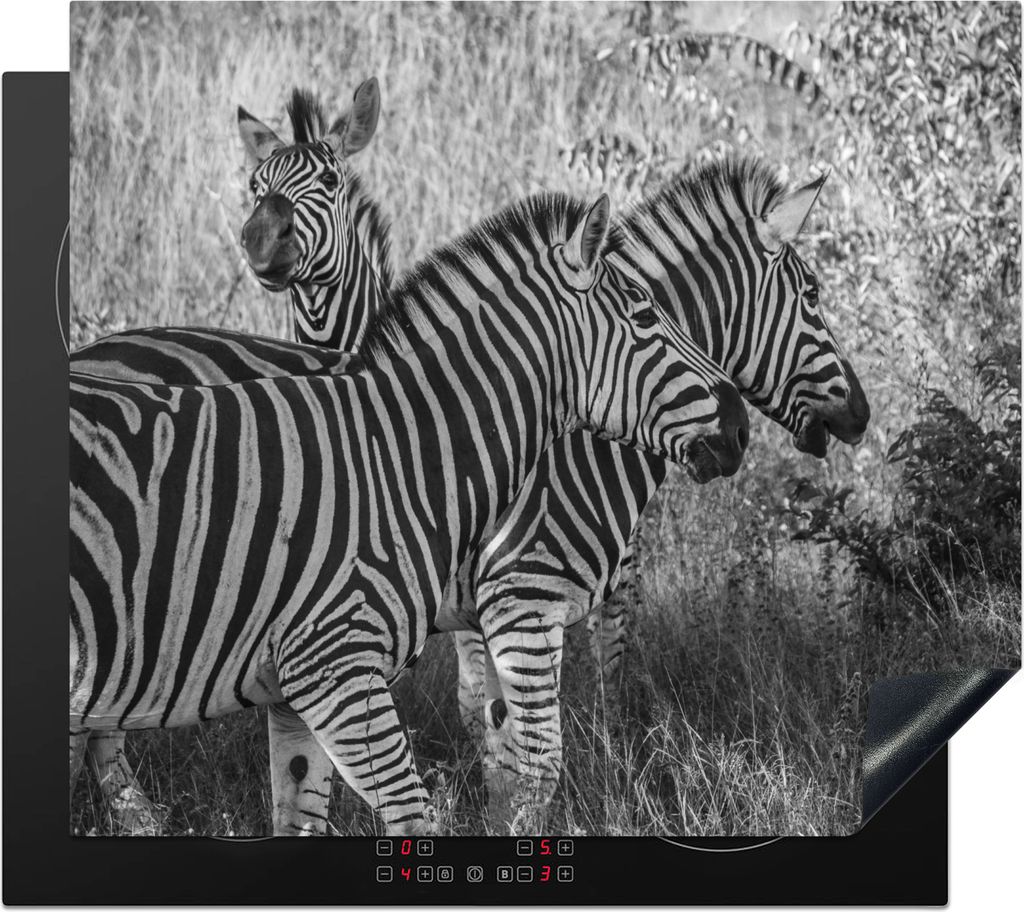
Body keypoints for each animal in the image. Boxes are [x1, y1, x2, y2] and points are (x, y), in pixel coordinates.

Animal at [70, 192, 750, 836]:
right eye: (645, 316)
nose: (740, 426)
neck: (397, 454)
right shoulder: (343, 667)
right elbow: (455, 794)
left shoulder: (295, 690)